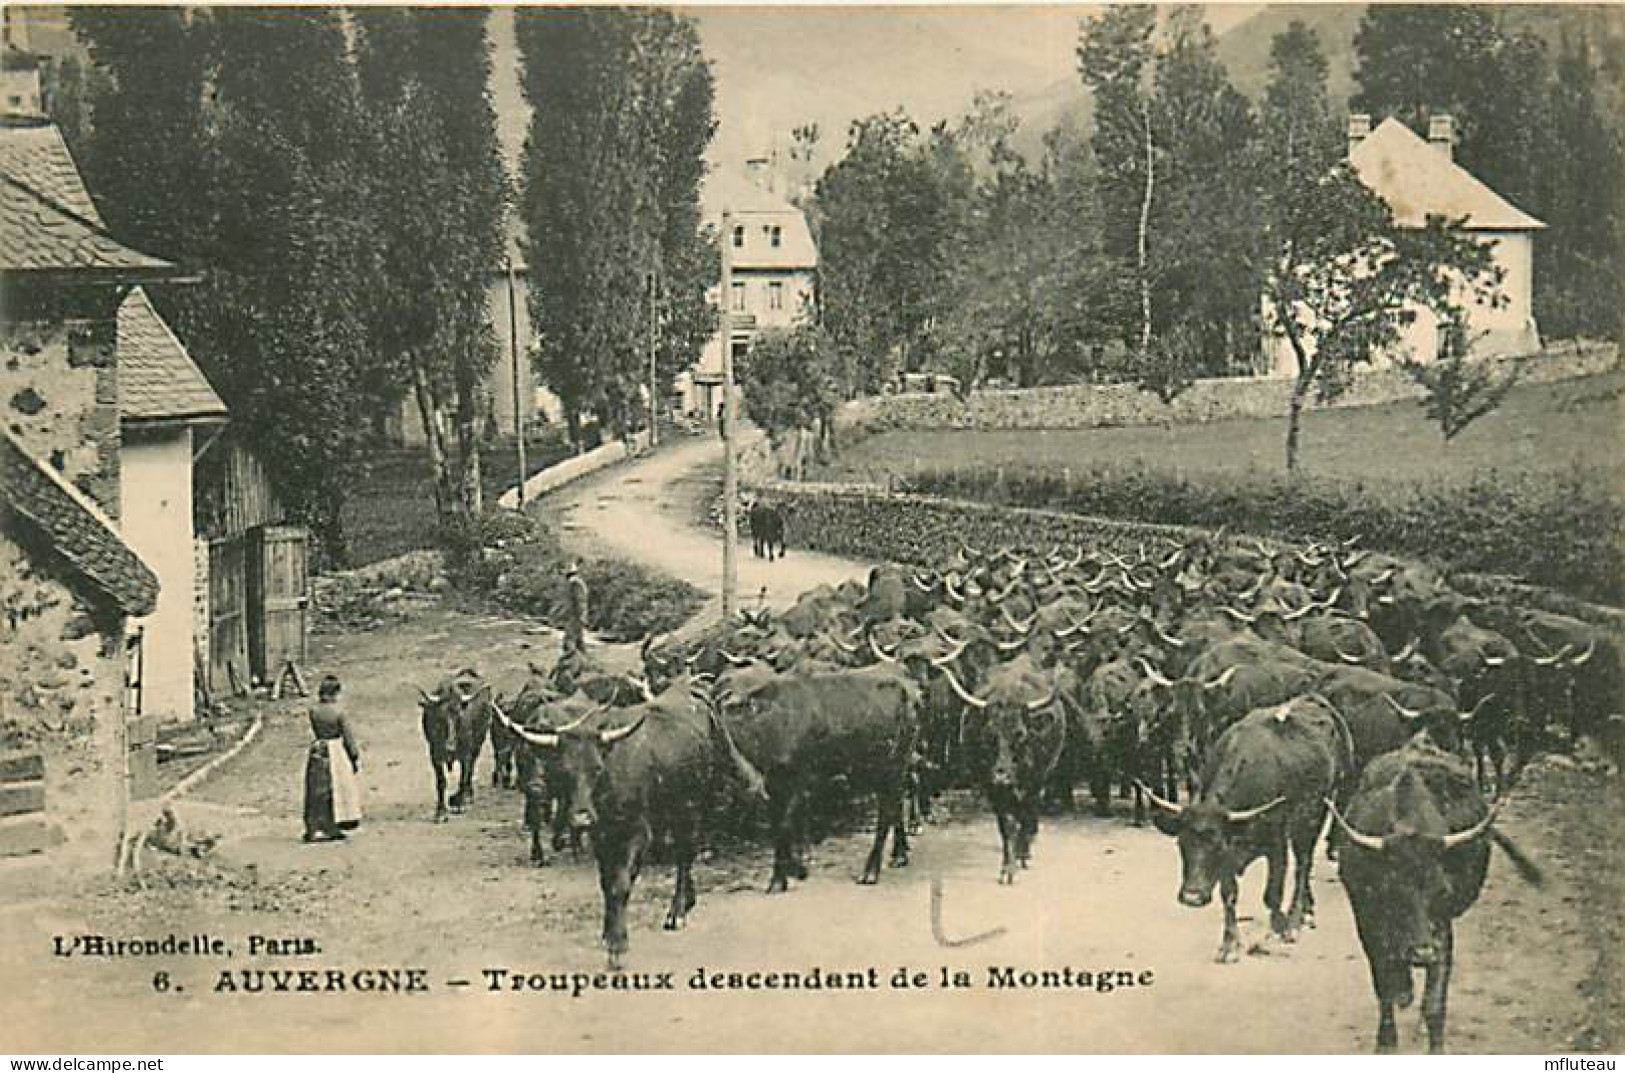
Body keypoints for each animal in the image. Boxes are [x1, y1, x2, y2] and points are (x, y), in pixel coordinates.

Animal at [416, 669, 490, 822]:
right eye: (440, 717)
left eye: (459, 717)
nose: (450, 748)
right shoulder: (435, 756)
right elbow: (441, 782)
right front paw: (440, 812)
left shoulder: (466, 754)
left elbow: (463, 777)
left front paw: (461, 804)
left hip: (478, 745)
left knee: (471, 770)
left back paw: (468, 796)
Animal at [1144, 695, 1358, 962]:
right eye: (1181, 844)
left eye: (1217, 845)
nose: (1192, 897)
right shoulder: (1229, 856)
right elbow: (1229, 893)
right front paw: (1229, 944)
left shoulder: (1276, 843)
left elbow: (1272, 894)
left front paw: (1278, 929)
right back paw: (1308, 911)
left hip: (1315, 815)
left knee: (1303, 865)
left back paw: (1296, 921)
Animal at [1326, 734, 1540, 1053]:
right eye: (1393, 891)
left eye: (1442, 891)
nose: (1422, 952)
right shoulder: (1367, 923)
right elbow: (1384, 985)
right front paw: (1386, 1041)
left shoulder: (1442, 929)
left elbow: (1434, 1002)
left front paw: (1436, 1045)